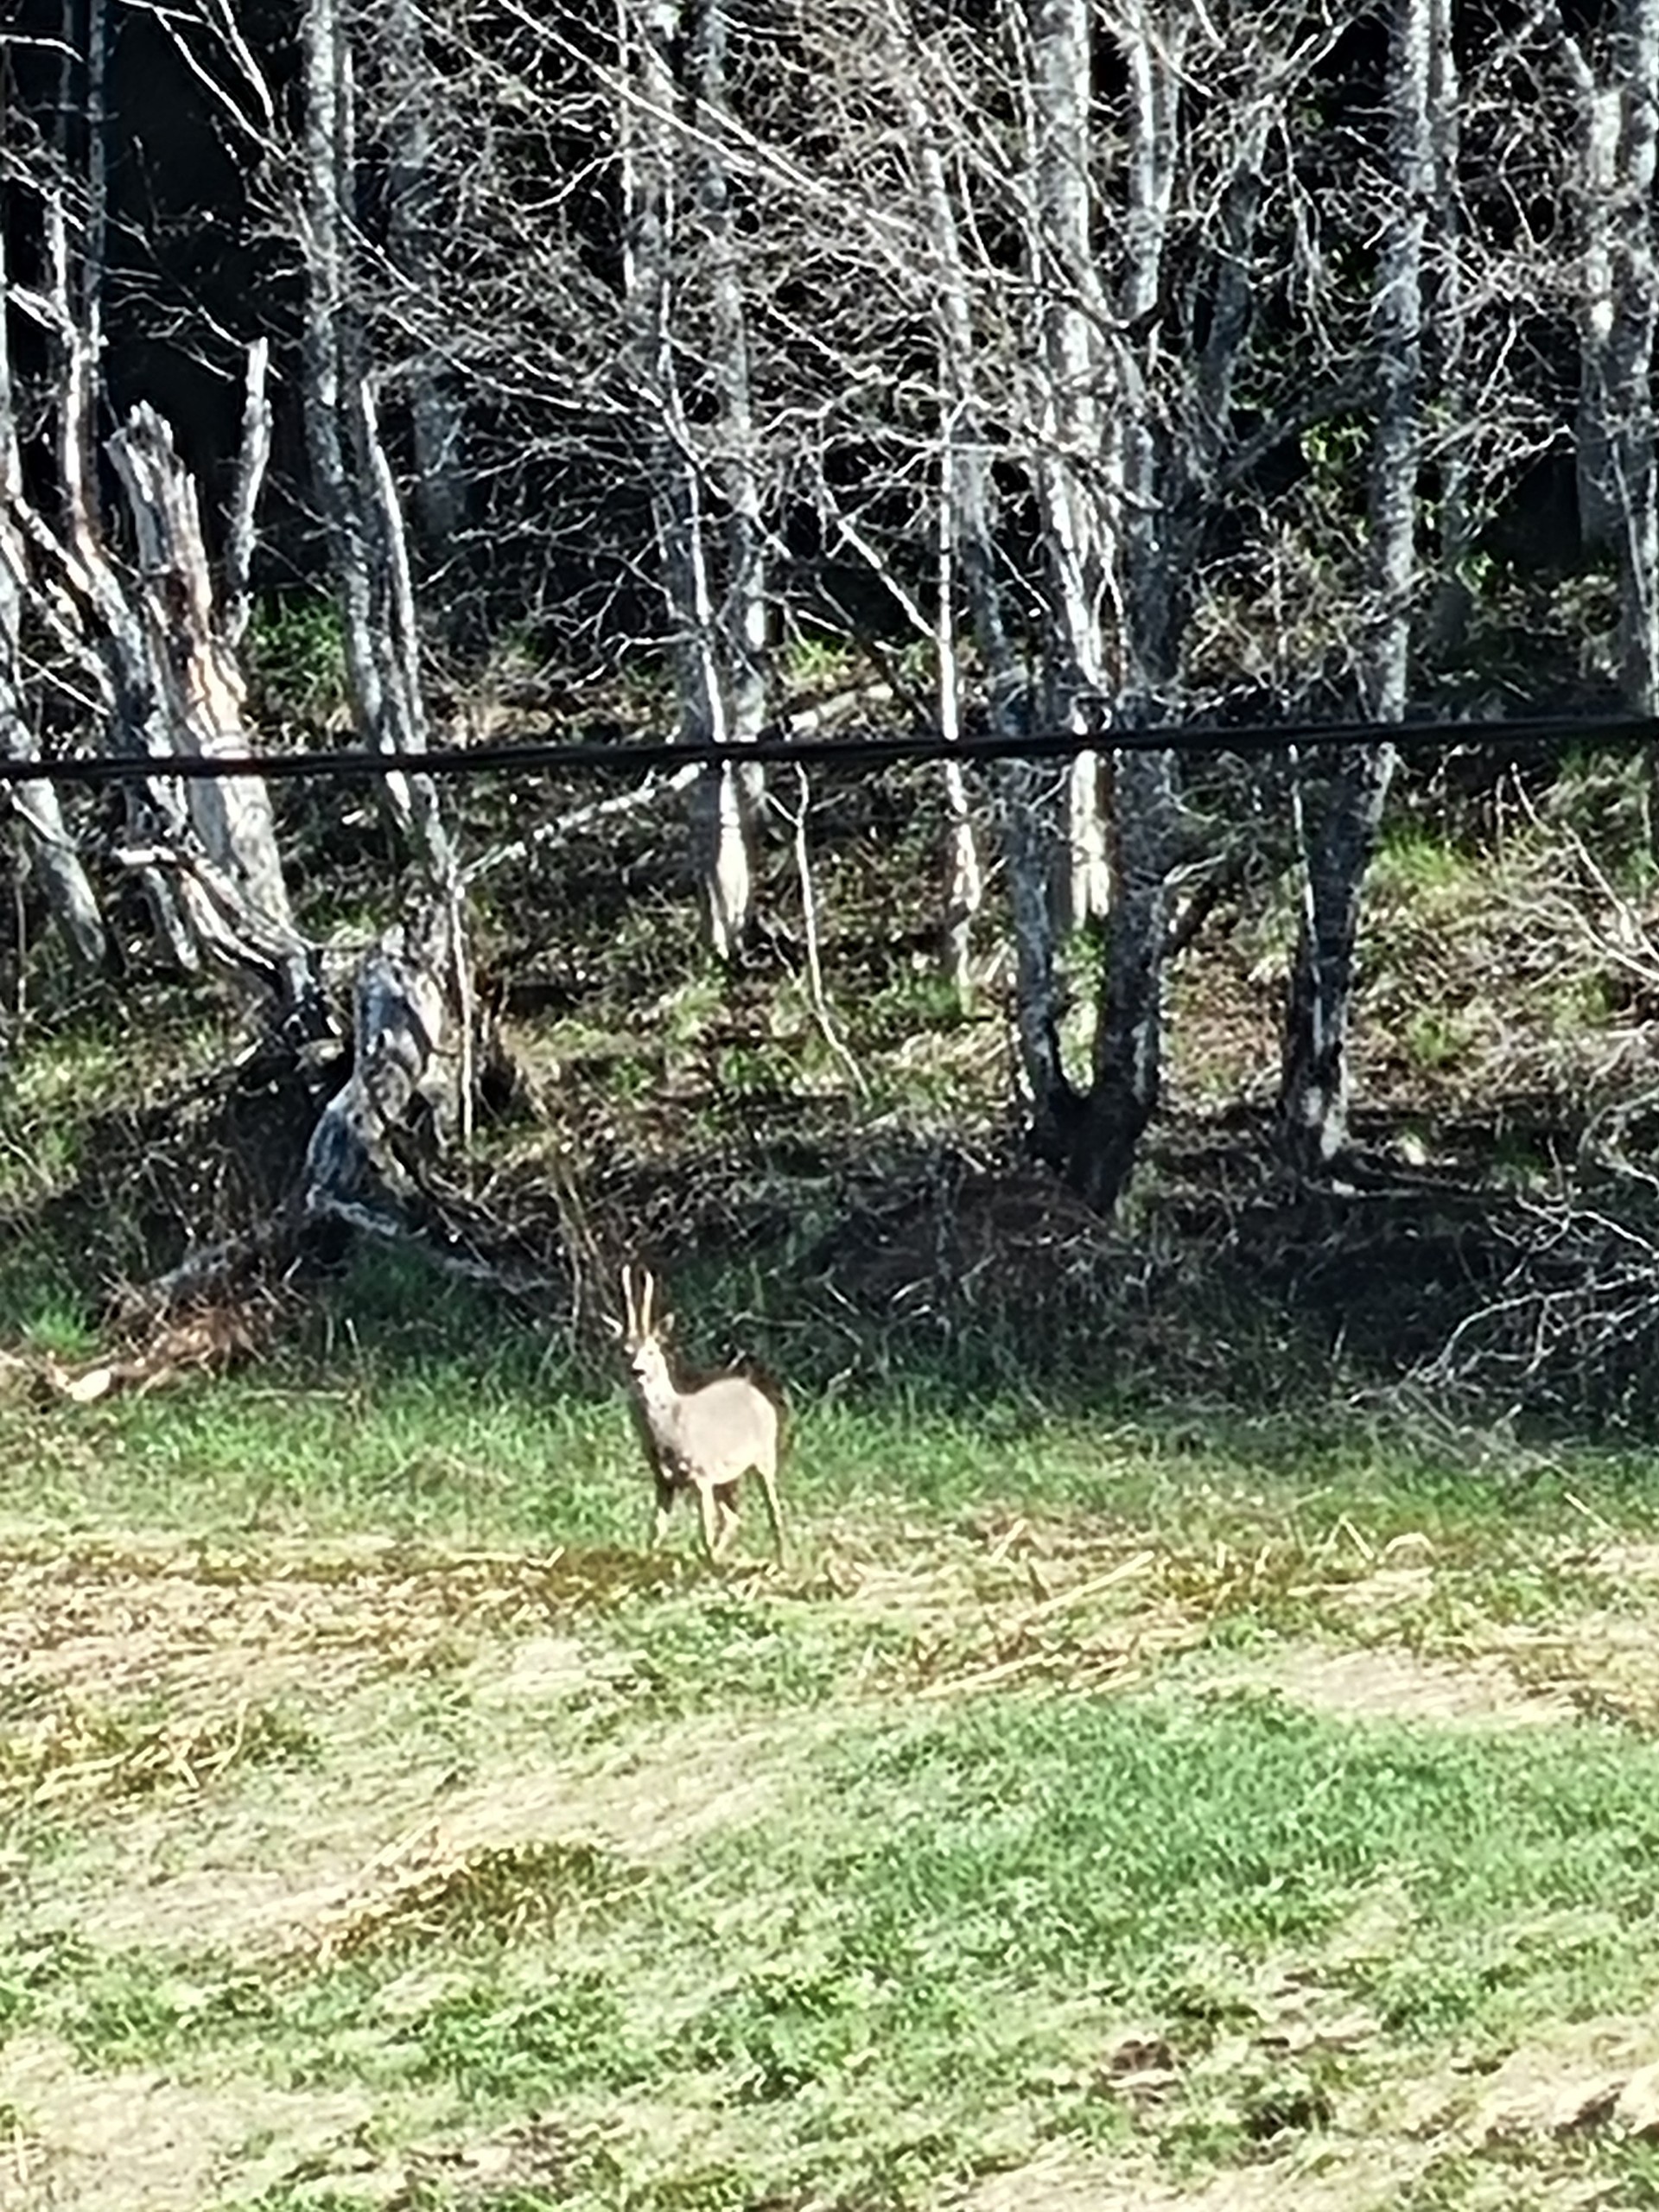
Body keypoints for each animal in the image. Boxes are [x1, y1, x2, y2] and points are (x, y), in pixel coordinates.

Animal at [606, 1264, 787, 1568]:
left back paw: (780, 1561)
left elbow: (705, 1532)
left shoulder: (701, 1474)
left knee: (773, 1509)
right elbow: (655, 1532)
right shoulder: (663, 1481)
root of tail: (756, 1392)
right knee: (734, 1517)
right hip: (728, 1476)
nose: (637, 1371)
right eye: (624, 1351)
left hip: (764, 1454)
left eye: (652, 1350)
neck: (670, 1428)